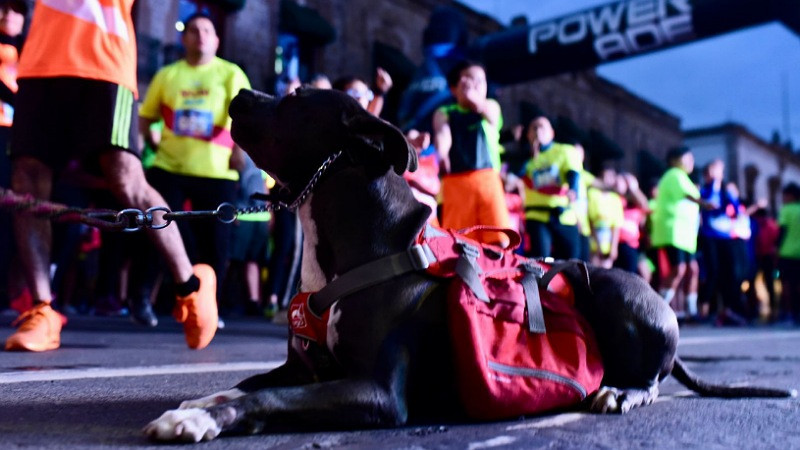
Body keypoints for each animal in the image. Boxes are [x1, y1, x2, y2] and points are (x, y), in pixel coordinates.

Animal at [144, 88, 792, 442]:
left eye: (299, 99)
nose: (240, 95)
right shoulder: (302, 368)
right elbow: (242, 385)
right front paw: (195, 407)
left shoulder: (376, 392)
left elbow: (267, 401)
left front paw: (199, 422)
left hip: (614, 286)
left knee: (653, 379)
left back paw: (621, 391)